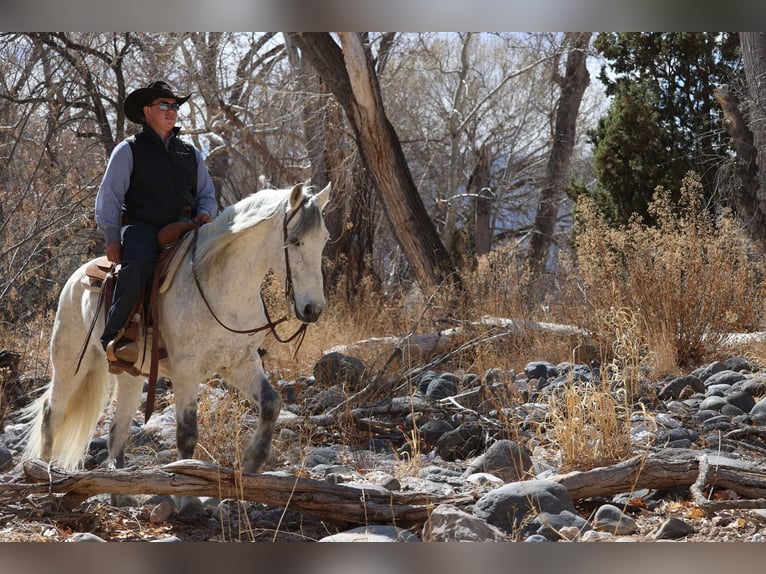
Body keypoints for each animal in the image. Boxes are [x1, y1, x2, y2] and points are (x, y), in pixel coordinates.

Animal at [20, 181, 331, 475]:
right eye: (295, 241)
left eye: (324, 239)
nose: (313, 309)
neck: (222, 287)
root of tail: (76, 278)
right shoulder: (186, 370)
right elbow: (187, 435)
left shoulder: (241, 363)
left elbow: (271, 404)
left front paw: (253, 462)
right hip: (71, 364)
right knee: (52, 415)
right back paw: (40, 469)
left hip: (130, 374)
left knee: (118, 430)